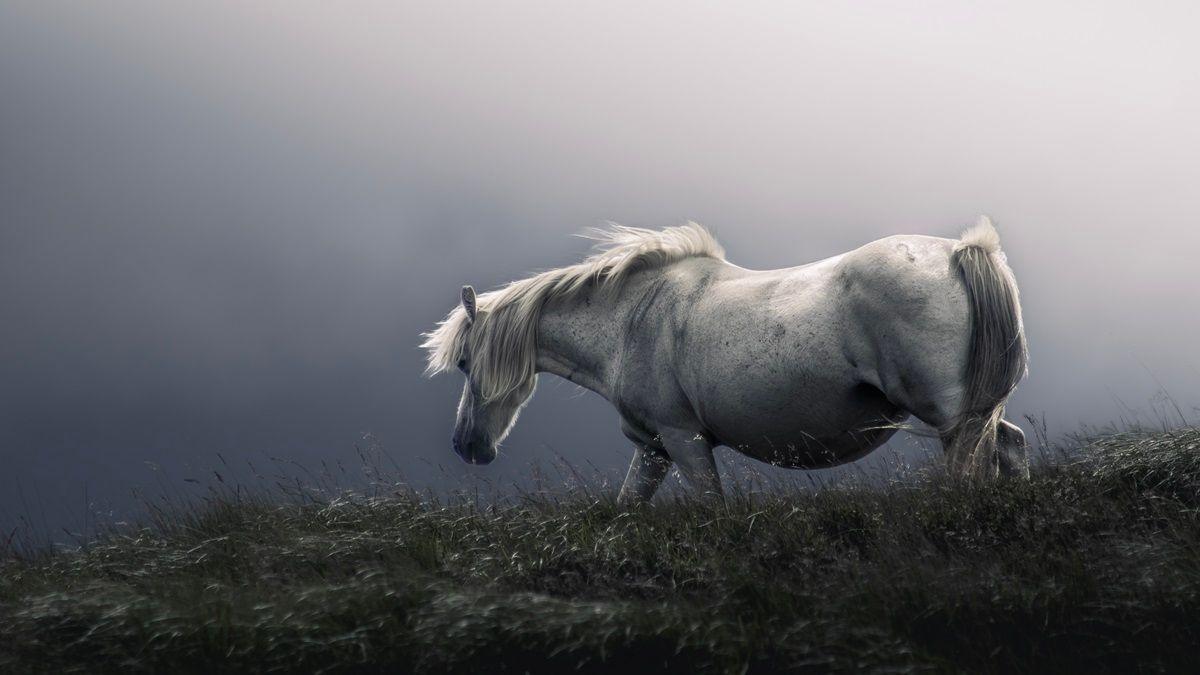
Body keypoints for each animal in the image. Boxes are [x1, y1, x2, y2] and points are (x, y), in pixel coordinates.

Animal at [422, 218, 1022, 502]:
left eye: (464, 364)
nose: (465, 446)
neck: (632, 319)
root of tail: (959, 252)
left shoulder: (684, 441)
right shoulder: (653, 449)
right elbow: (625, 508)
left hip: (950, 418)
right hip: (971, 413)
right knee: (1010, 446)